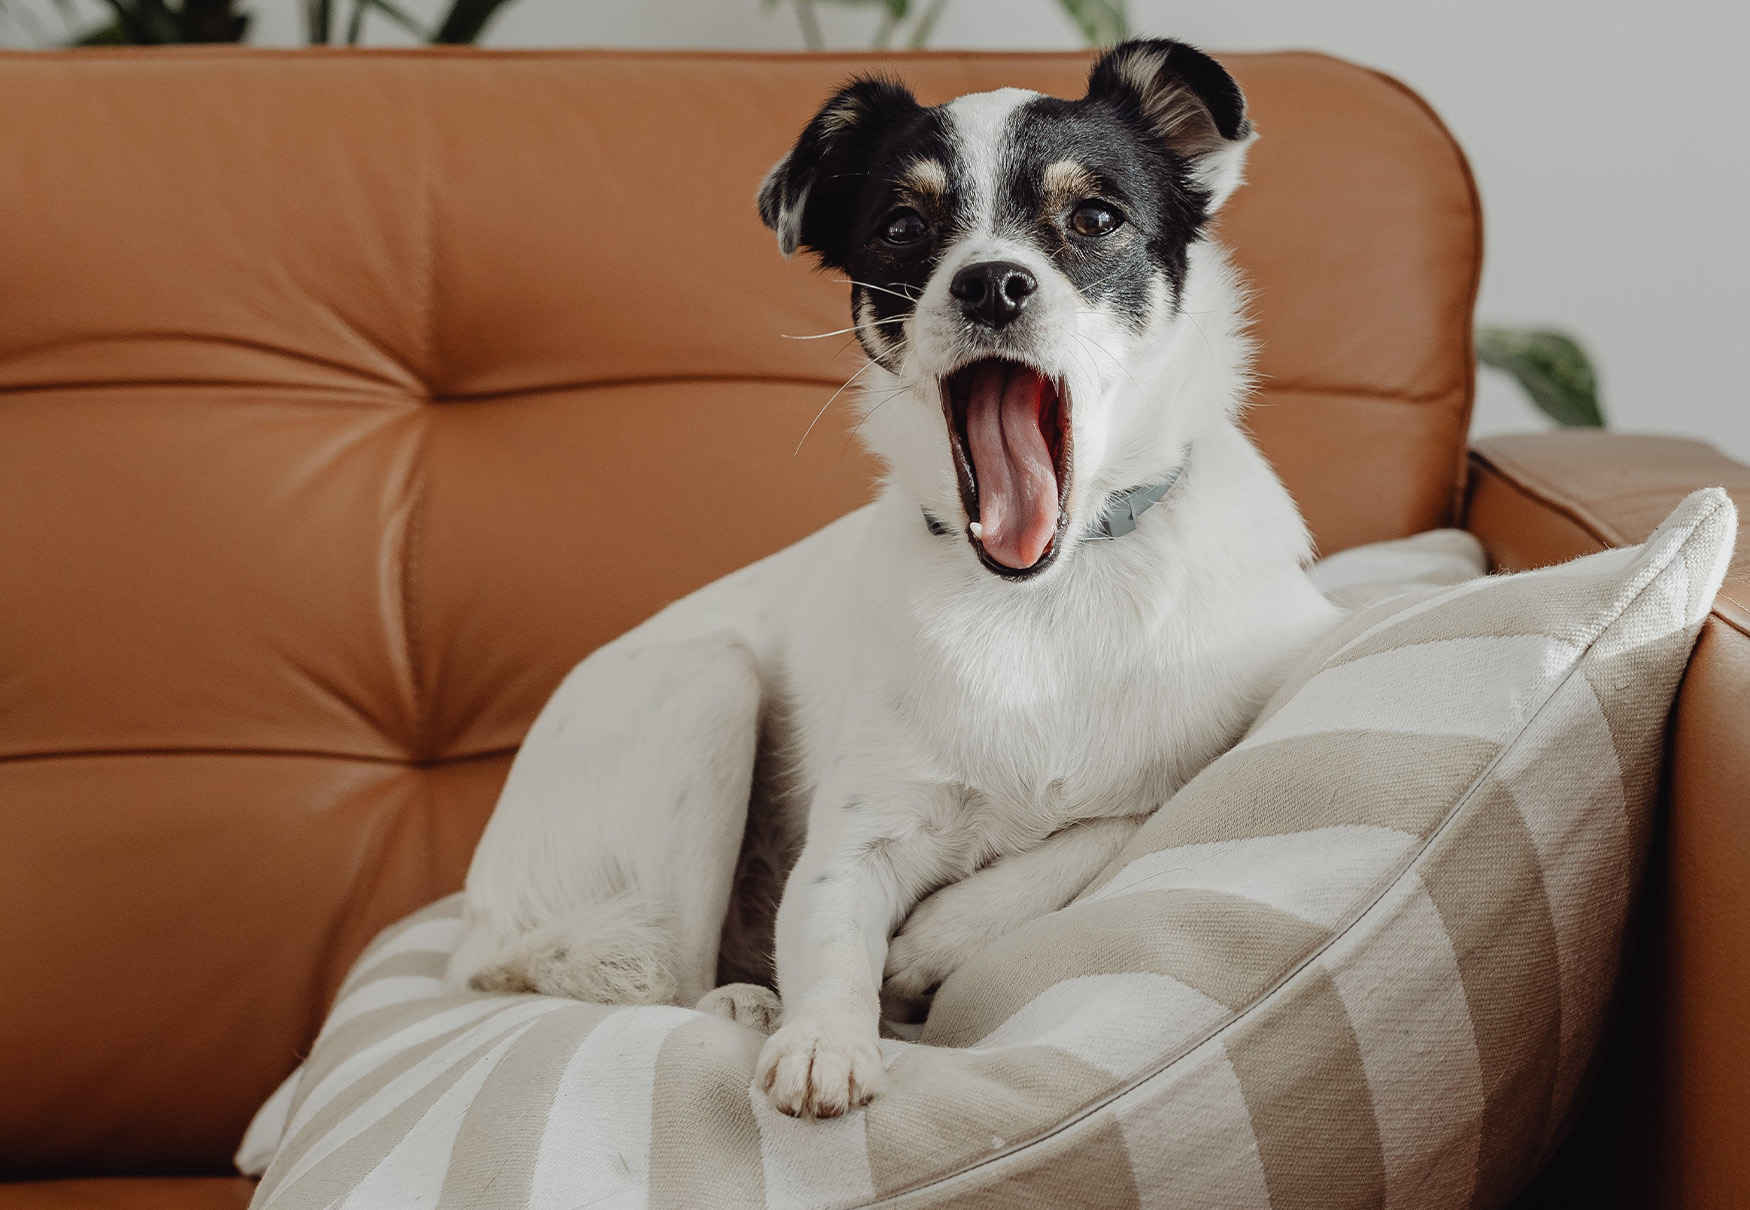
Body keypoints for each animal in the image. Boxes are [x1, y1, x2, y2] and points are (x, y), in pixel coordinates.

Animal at [448, 35, 1337, 1113]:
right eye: (903, 228)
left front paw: (933, 940)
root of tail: (469, 938)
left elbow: (1107, 826)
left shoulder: (1196, 753)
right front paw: (824, 1037)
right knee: (662, 973)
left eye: (1094, 218)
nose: (990, 283)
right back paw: (741, 1003)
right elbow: (831, 939)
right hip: (708, 686)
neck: (1045, 595)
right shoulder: (850, 848)